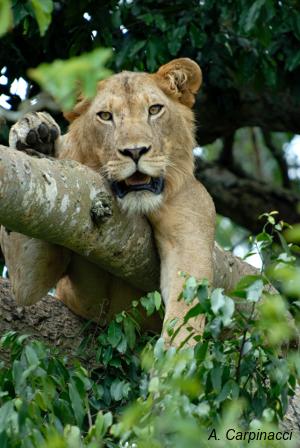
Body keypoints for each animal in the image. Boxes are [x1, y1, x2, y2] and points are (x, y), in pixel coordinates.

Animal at [0, 59, 216, 344]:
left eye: (154, 110)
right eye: (105, 116)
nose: (135, 151)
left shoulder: (189, 228)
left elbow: (185, 310)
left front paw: (175, 356)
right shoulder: (59, 200)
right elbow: (25, 287)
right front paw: (31, 134)